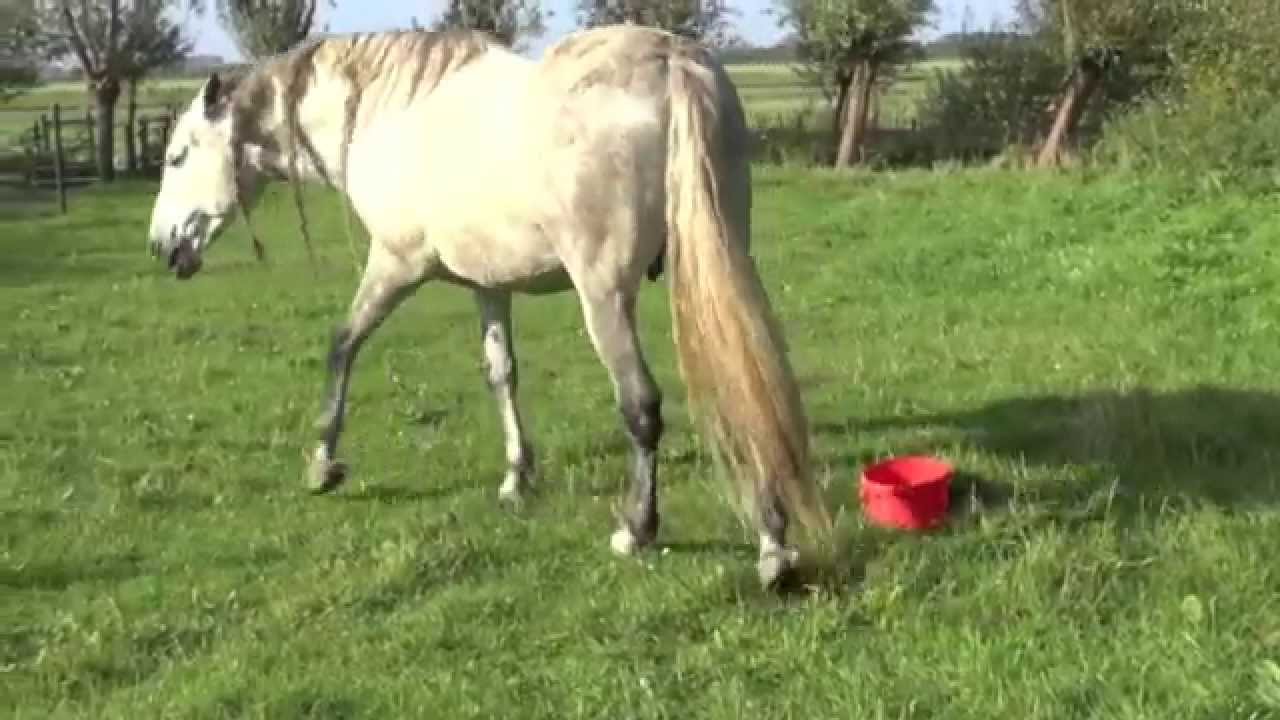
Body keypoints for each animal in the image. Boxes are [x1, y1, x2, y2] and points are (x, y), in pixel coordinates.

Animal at [144, 24, 831, 589]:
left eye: (177, 156)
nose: (162, 246)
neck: (387, 114)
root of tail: (670, 61)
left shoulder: (396, 265)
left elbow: (343, 344)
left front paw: (323, 464)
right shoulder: (489, 285)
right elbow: (502, 373)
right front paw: (515, 479)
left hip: (605, 295)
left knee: (641, 405)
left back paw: (638, 530)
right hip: (721, 254)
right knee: (746, 379)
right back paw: (773, 544)